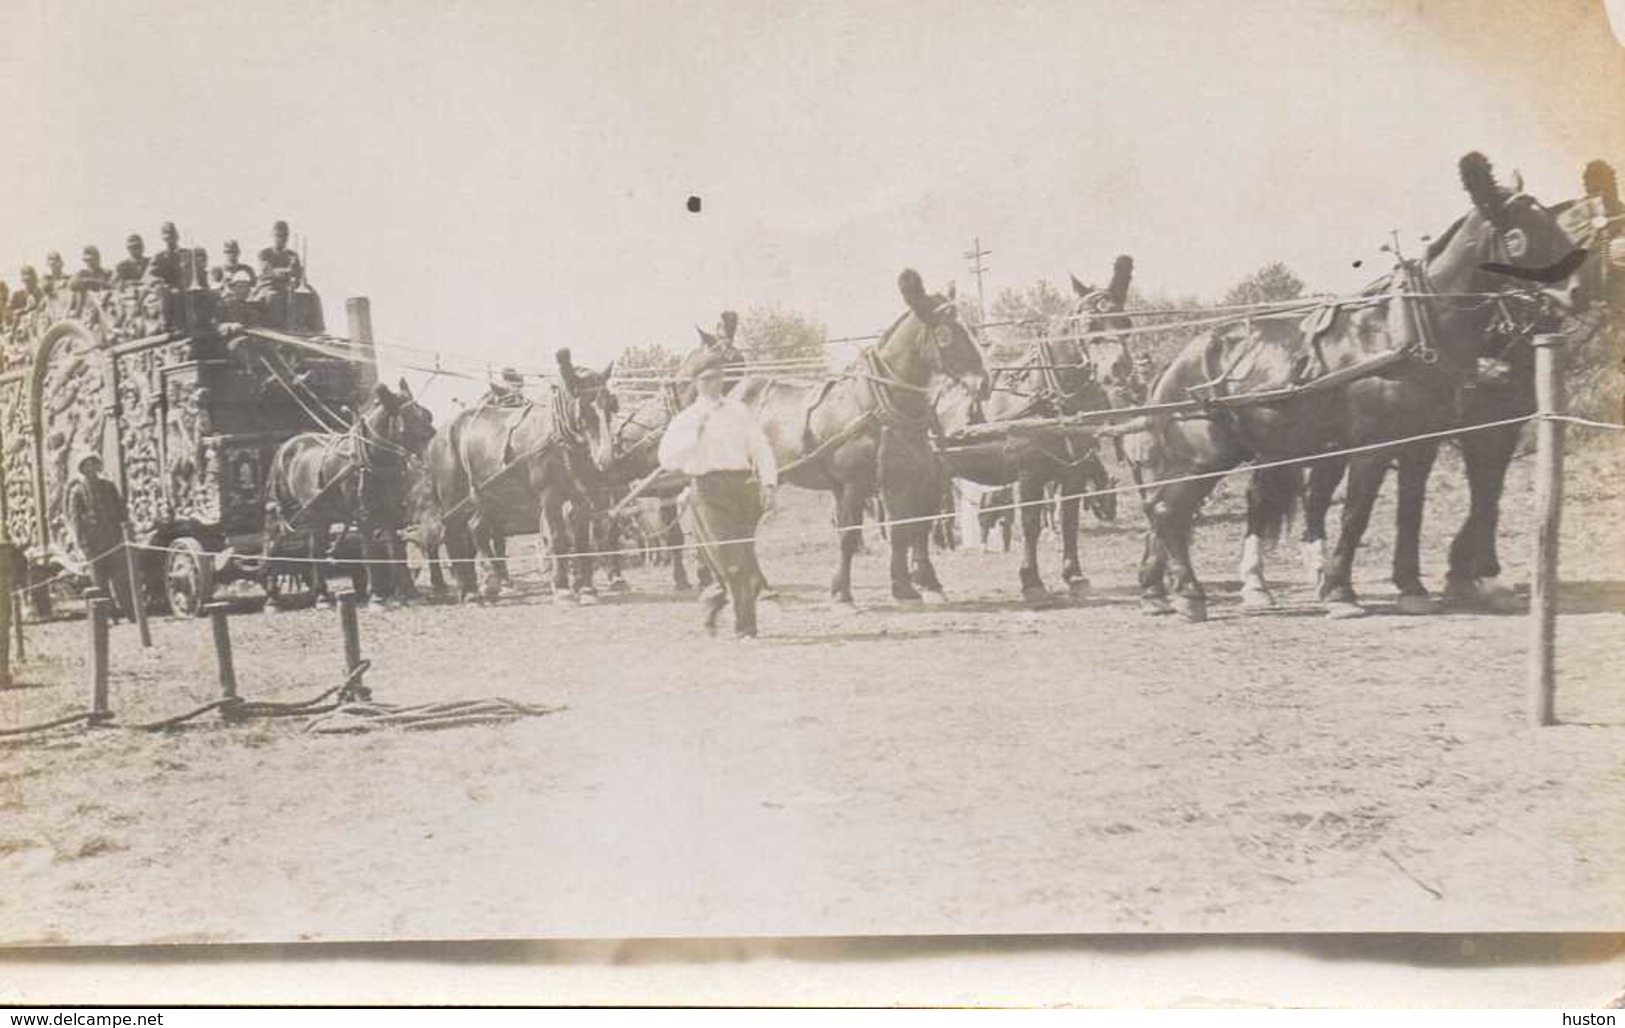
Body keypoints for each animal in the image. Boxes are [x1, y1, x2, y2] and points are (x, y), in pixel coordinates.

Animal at [269, 378, 442, 604]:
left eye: (427, 415)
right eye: (410, 420)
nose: (434, 452)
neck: (372, 459)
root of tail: (285, 447)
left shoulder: (392, 511)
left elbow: (396, 550)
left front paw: (410, 593)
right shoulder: (364, 515)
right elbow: (369, 552)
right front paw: (376, 596)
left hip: (320, 515)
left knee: (315, 548)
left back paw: (321, 594)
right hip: (289, 510)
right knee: (276, 541)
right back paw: (278, 595)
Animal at [422, 349, 617, 600]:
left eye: (610, 404)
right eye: (582, 408)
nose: (604, 458)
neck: (557, 436)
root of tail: (437, 435)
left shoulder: (581, 496)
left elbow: (581, 538)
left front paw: (587, 589)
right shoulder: (549, 495)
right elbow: (558, 538)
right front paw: (562, 588)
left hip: (488, 495)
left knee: (476, 529)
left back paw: (489, 583)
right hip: (452, 496)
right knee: (453, 533)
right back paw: (470, 591)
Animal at [734, 267, 988, 604]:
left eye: (968, 328)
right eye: (946, 333)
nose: (984, 383)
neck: (876, 406)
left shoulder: (902, 480)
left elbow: (904, 529)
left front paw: (904, 587)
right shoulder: (854, 484)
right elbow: (850, 535)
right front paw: (842, 592)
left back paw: (760, 586)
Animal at [936, 256, 1150, 604]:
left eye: (1126, 322)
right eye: (1090, 326)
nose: (1119, 369)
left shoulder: (1073, 473)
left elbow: (1069, 521)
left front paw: (1075, 576)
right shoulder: (1029, 474)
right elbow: (1031, 524)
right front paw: (1031, 580)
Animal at [1137, 151, 1579, 617]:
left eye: (1553, 223)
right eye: (1518, 235)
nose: (1576, 291)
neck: (1404, 330)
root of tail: (1176, 362)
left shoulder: (1421, 445)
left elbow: (1410, 512)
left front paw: (1412, 587)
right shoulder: (1372, 446)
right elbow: (1356, 514)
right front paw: (1339, 592)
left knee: (1162, 510)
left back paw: (1160, 591)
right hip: (1205, 455)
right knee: (1168, 510)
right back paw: (1190, 593)